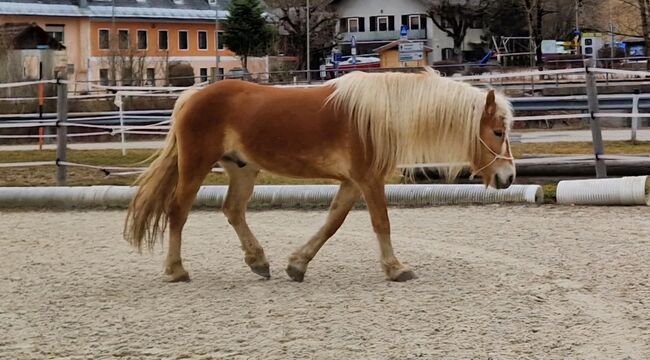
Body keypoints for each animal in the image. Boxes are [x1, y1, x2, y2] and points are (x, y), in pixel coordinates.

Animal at [124, 67, 512, 282]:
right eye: (497, 131)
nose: (508, 177)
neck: (377, 115)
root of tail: (191, 97)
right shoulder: (369, 179)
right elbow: (381, 223)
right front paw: (395, 268)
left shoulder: (353, 182)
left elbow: (332, 223)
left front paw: (297, 264)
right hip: (196, 166)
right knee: (177, 211)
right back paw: (175, 270)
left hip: (242, 170)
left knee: (233, 210)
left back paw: (258, 261)